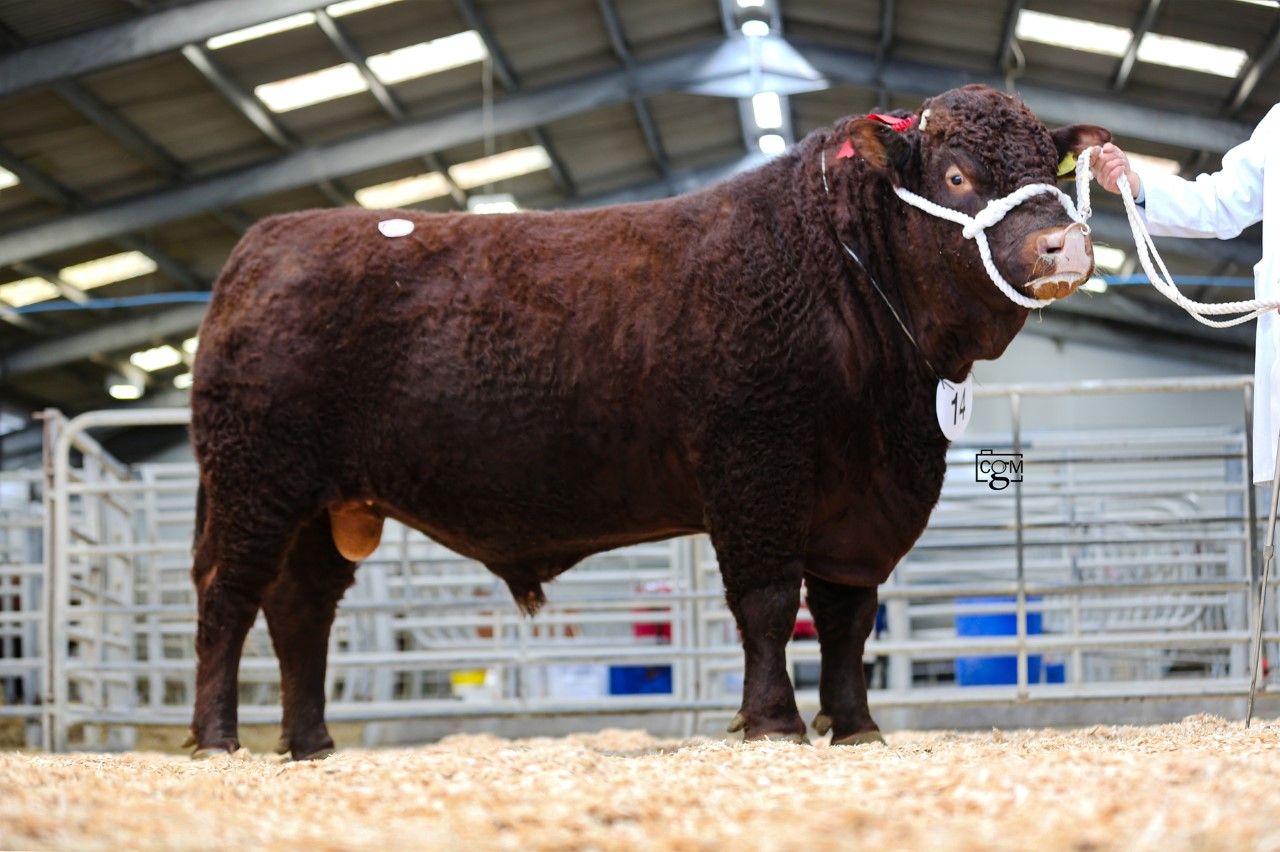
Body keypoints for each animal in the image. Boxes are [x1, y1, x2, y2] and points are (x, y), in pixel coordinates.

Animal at [187, 84, 1106, 759]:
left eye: (1051, 170)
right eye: (955, 177)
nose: (1065, 244)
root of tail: (261, 246)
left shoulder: (864, 506)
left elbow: (848, 620)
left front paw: (856, 728)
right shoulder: (755, 462)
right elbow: (769, 603)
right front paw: (773, 723)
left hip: (319, 504)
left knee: (301, 612)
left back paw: (310, 744)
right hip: (254, 480)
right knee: (228, 598)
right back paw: (217, 740)